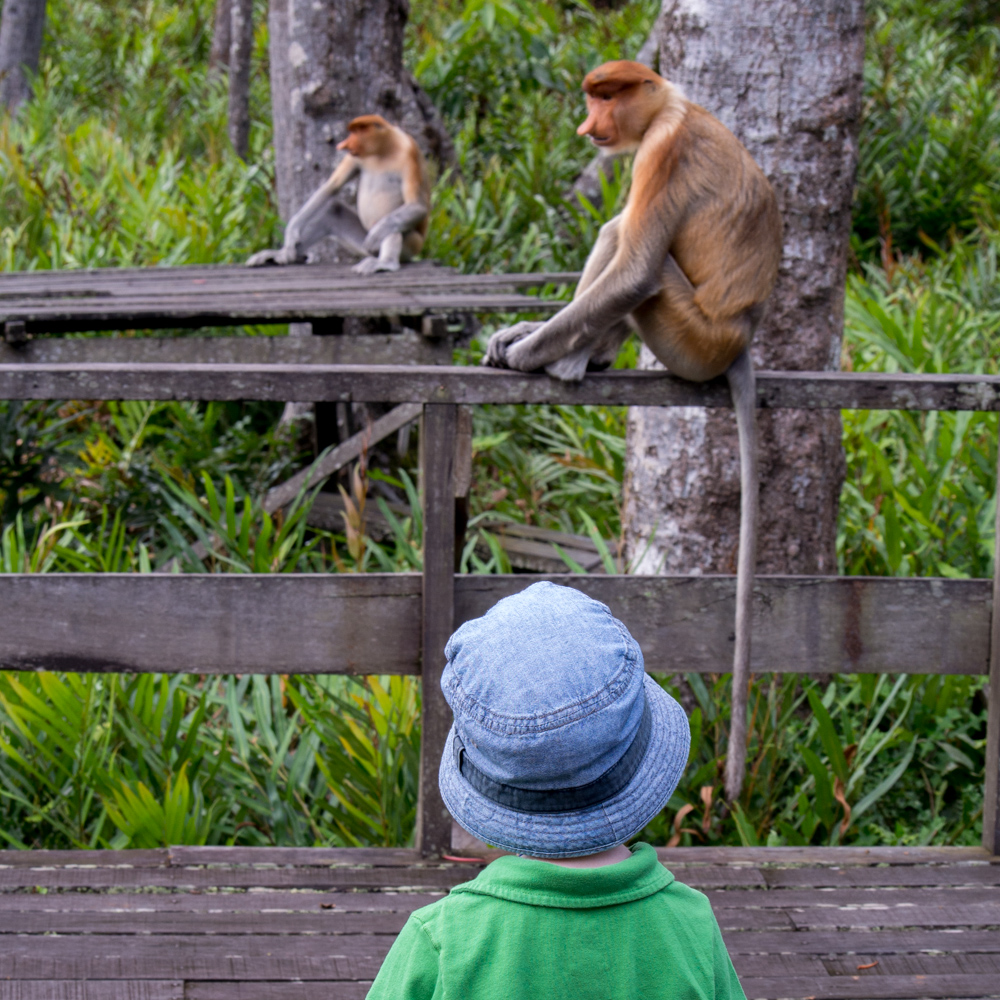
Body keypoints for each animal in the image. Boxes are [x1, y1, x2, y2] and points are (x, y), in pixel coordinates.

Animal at [247, 115, 430, 276]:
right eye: (351, 132)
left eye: (357, 132)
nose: (344, 144)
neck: (383, 150)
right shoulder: (355, 156)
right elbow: (331, 187)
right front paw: (291, 234)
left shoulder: (409, 152)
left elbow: (417, 205)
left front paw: (377, 235)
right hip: (361, 242)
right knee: (333, 210)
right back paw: (281, 256)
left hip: (412, 244)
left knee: (390, 223)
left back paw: (385, 263)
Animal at [482, 58, 780, 800]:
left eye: (606, 96)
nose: (589, 125)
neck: (674, 104)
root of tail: (739, 337)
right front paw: (518, 335)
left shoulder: (660, 154)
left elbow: (636, 266)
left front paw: (528, 355)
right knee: (615, 233)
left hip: (687, 335)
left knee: (628, 245)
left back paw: (567, 362)